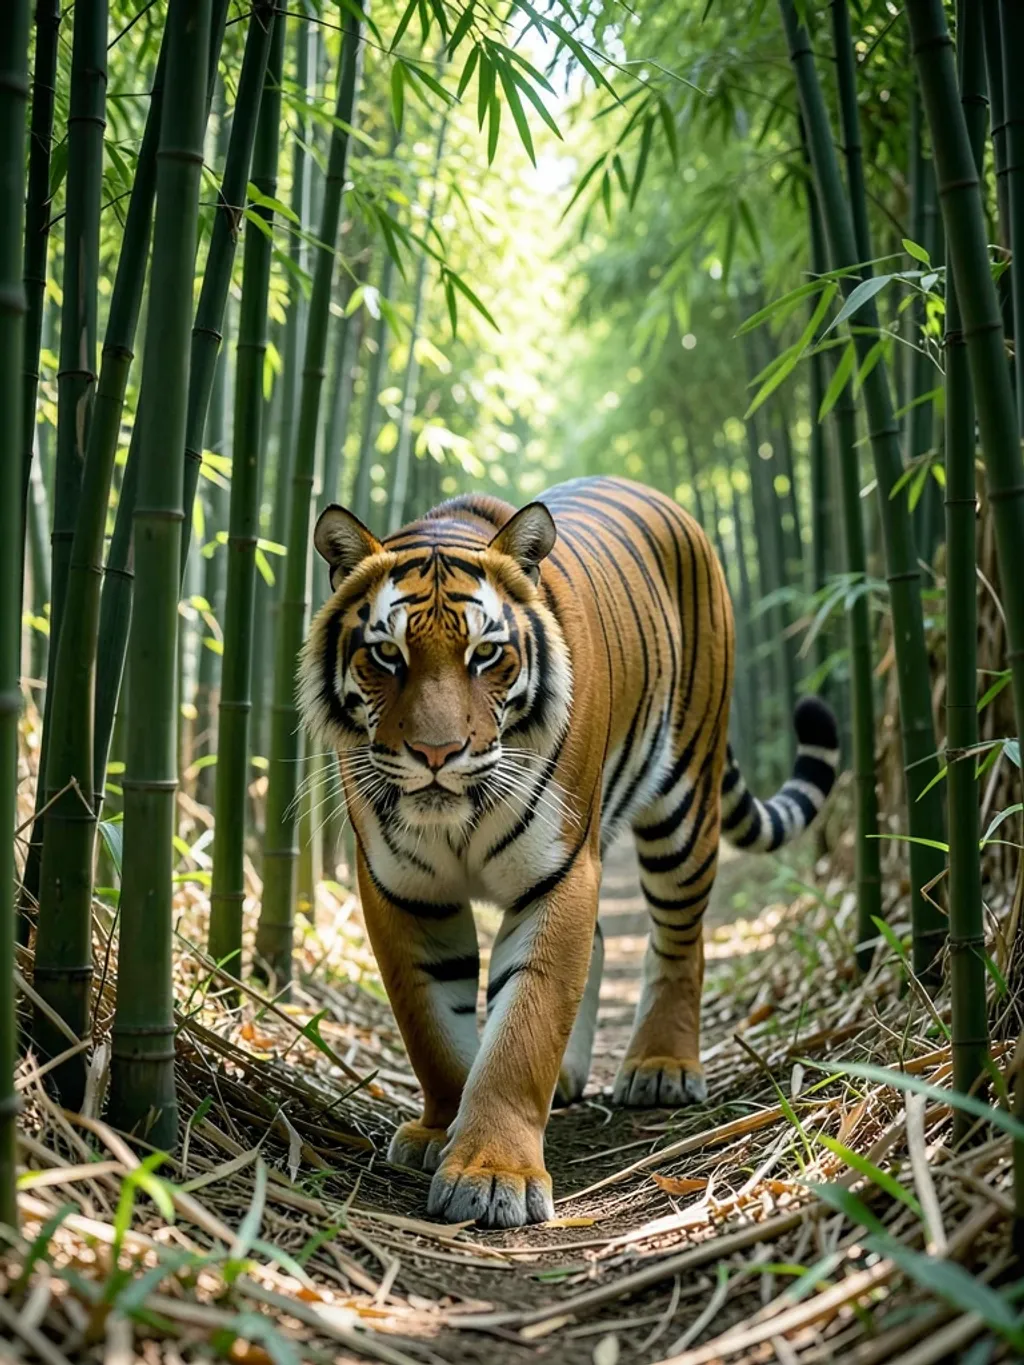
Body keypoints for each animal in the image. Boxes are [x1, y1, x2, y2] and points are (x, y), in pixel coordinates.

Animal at [300, 475, 839, 1229]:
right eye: (386, 655)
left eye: (485, 655)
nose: (437, 754)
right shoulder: (402, 888)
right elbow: (432, 1027)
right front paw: (440, 1130)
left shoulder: (559, 873)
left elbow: (526, 1024)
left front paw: (492, 1172)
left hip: (683, 801)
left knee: (681, 940)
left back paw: (662, 1067)